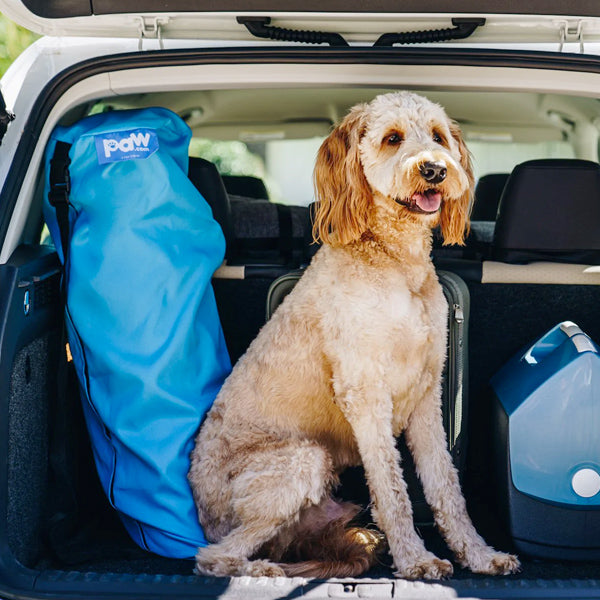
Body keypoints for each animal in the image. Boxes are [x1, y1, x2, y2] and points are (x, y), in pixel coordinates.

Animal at [189, 91, 520, 580]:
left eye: (438, 136)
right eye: (392, 138)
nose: (435, 169)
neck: (396, 262)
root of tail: (201, 509)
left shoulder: (427, 394)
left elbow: (446, 488)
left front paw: (478, 554)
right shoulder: (365, 393)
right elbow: (392, 489)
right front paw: (415, 560)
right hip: (301, 460)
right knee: (213, 556)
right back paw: (263, 570)